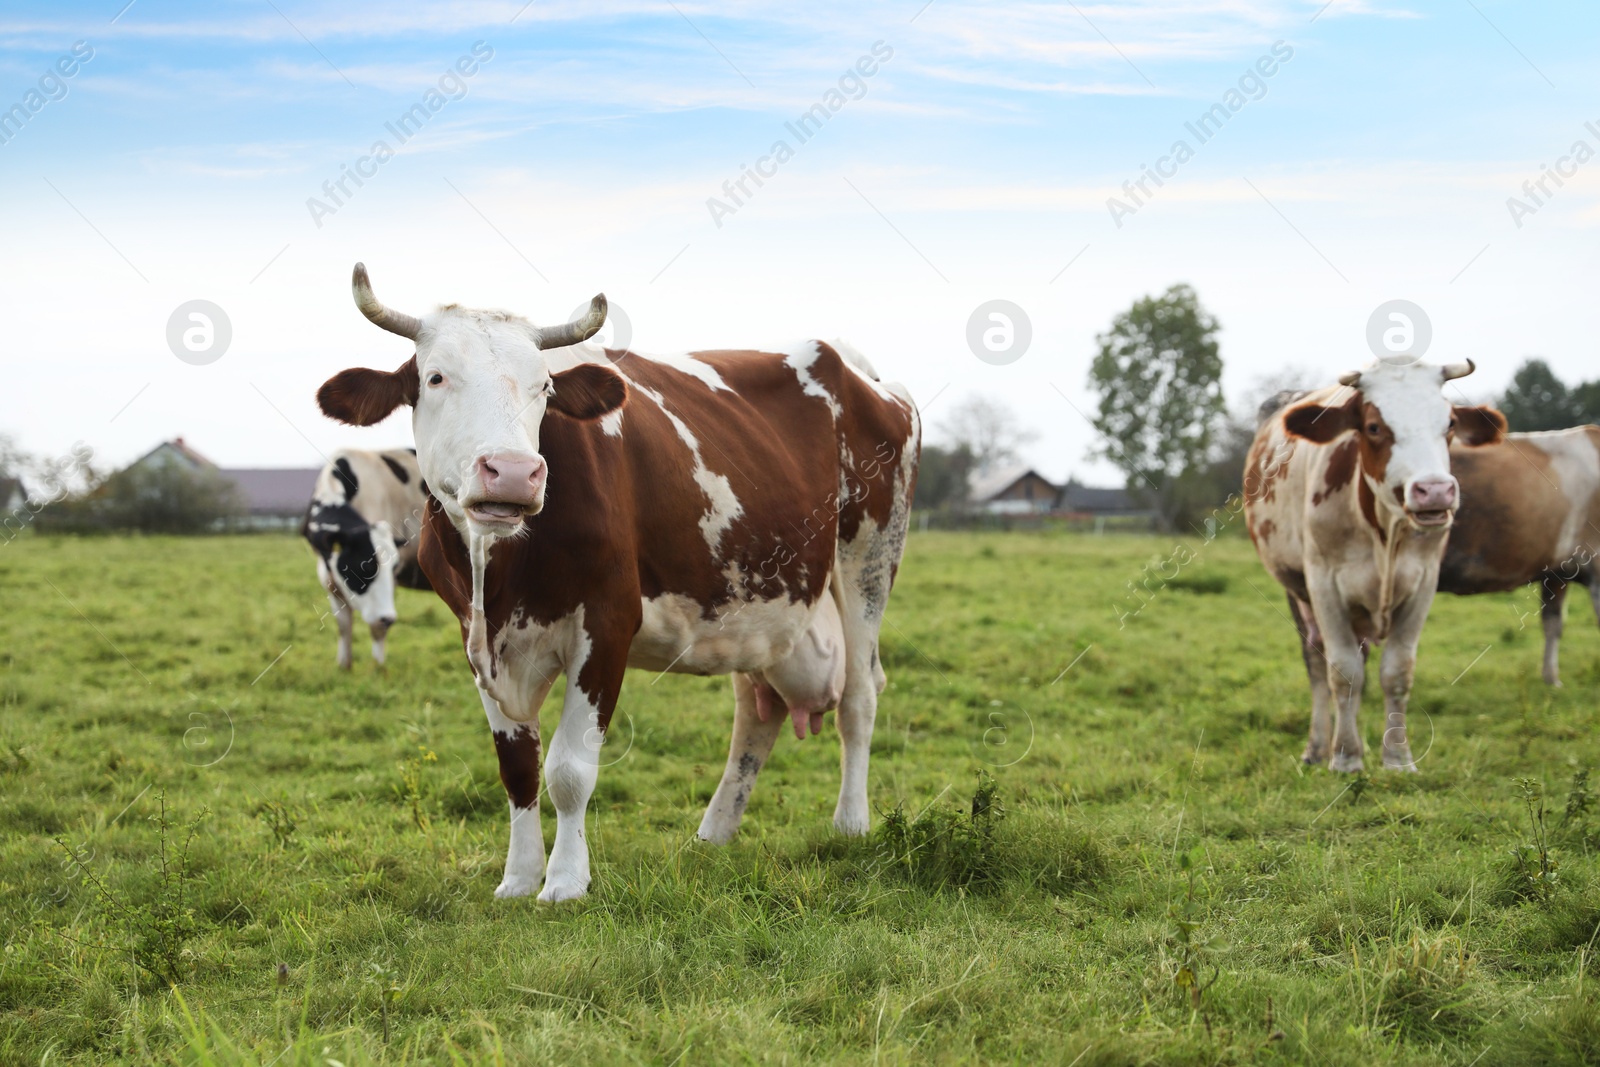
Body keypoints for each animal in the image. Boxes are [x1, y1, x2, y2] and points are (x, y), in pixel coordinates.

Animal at [300, 447, 432, 668]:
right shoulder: (329, 580)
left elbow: (378, 629)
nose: (389, 618)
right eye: (365, 567)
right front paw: (344, 667)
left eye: (394, 567)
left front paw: (378, 669)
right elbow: (343, 625)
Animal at [315, 265, 915, 902]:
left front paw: (564, 881)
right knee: (758, 711)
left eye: (545, 388)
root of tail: (857, 368)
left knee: (859, 696)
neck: (496, 573)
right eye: (435, 376)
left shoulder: (607, 625)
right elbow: (517, 768)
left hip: (869, 560)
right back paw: (714, 834)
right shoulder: (475, 638)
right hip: (758, 603)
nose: (513, 472)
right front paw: (518, 878)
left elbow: (568, 770)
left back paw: (850, 824)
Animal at [1241, 363, 1504, 771]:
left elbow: (1396, 671)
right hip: (1296, 590)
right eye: (1374, 427)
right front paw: (1345, 758)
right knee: (1317, 662)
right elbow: (1342, 672)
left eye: (1450, 423)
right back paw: (1319, 747)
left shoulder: (1423, 584)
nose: (1434, 490)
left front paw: (1397, 758)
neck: (1384, 532)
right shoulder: (1324, 585)